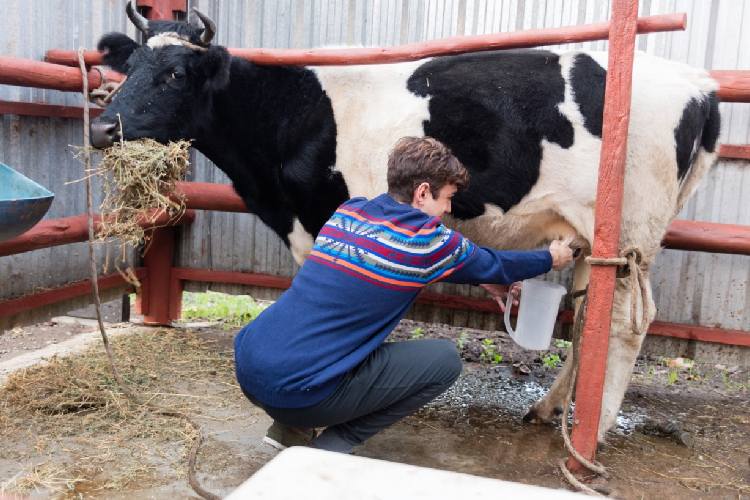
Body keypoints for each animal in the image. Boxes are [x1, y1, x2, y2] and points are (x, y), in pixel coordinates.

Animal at [91, 3, 724, 442]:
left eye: (176, 74)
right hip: (601, 239)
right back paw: (549, 410)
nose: (102, 127)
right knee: (592, 315)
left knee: (625, 323)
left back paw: (594, 433)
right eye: (130, 66)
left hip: (632, 228)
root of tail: (699, 84)